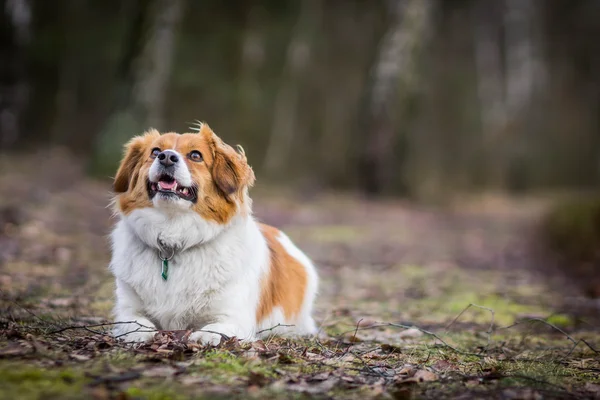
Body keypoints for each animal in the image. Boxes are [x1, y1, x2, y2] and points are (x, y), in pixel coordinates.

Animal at [110, 122, 322, 344]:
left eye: (195, 155)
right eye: (155, 151)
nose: (166, 157)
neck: (174, 235)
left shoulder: (234, 317)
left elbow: (215, 328)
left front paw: (203, 335)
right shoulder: (127, 309)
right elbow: (134, 322)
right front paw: (140, 332)